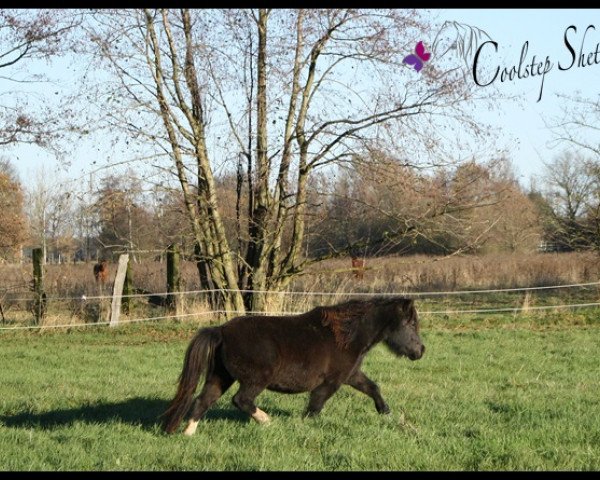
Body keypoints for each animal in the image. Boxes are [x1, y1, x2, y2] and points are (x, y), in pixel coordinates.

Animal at [159, 296, 422, 436]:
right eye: (411, 324)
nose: (420, 351)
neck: (346, 335)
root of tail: (221, 330)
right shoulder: (332, 382)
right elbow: (315, 406)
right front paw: (303, 427)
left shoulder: (351, 374)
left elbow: (372, 387)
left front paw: (385, 412)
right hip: (255, 380)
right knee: (241, 400)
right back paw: (267, 422)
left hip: (220, 377)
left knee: (202, 401)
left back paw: (188, 434)